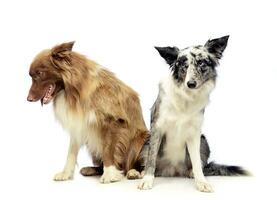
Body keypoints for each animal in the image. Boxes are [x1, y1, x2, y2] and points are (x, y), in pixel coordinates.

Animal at [27, 41, 149, 183]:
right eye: (32, 76)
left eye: (39, 73)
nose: (28, 99)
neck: (74, 91)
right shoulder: (78, 123)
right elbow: (71, 152)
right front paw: (66, 173)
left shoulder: (112, 122)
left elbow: (108, 149)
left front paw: (109, 174)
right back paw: (91, 169)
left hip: (140, 140)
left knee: (132, 164)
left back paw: (134, 172)